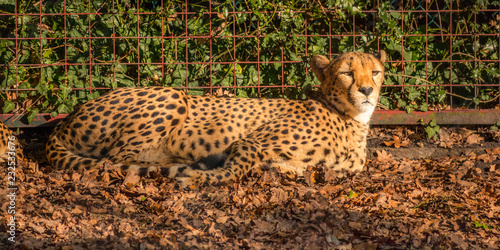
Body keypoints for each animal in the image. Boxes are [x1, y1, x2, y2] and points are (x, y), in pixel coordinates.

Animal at [46, 50, 386, 187]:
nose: (367, 90)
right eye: (347, 73)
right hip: (173, 95)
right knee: (115, 158)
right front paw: (198, 177)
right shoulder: (250, 142)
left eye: (375, 72)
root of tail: (63, 122)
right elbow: (232, 172)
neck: (351, 118)